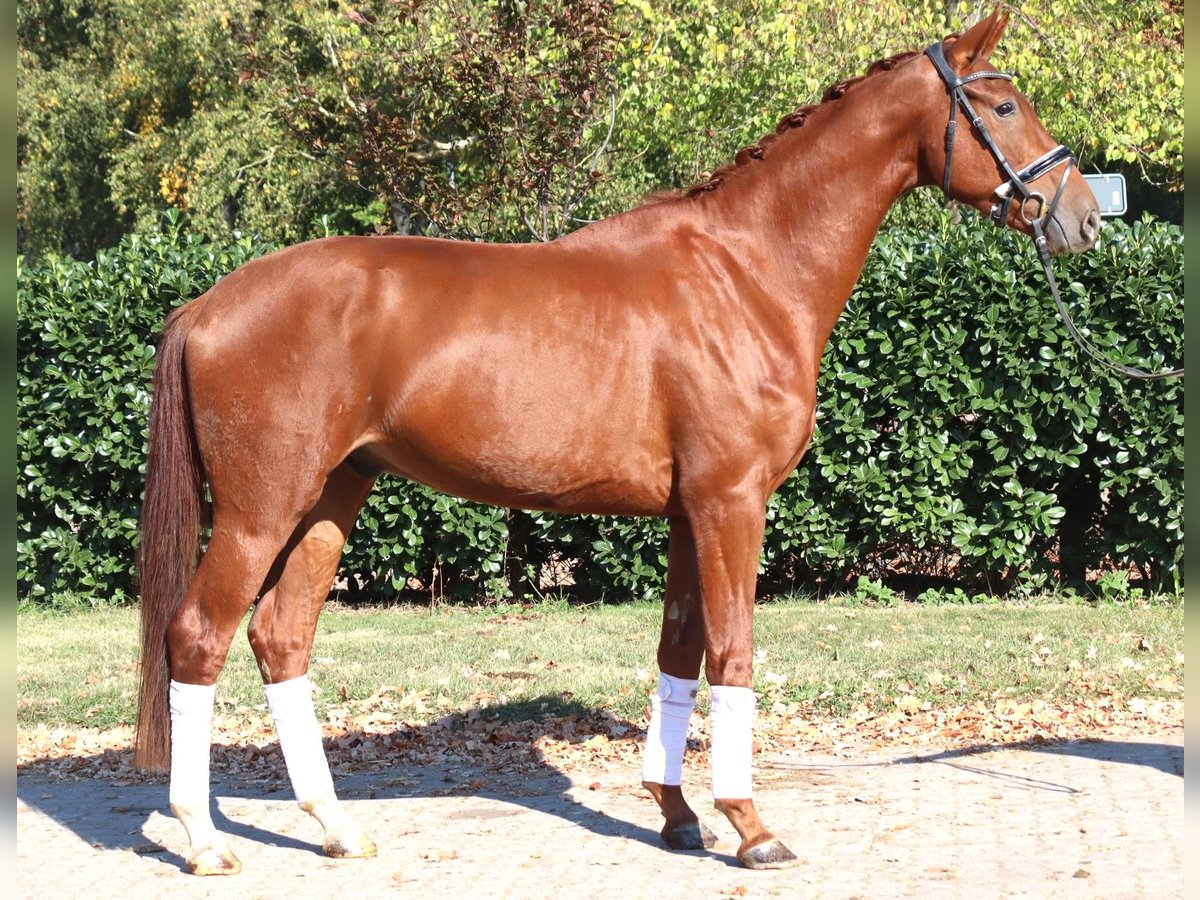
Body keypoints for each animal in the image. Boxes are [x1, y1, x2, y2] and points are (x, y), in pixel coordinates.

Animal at [134, 8, 1101, 875]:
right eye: (1003, 105)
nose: (1083, 216)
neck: (746, 271)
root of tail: (207, 305)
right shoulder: (730, 503)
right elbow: (734, 652)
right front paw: (752, 828)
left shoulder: (687, 512)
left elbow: (679, 653)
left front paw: (678, 815)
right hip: (261, 510)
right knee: (199, 635)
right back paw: (206, 840)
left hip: (333, 498)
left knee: (280, 638)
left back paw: (336, 829)